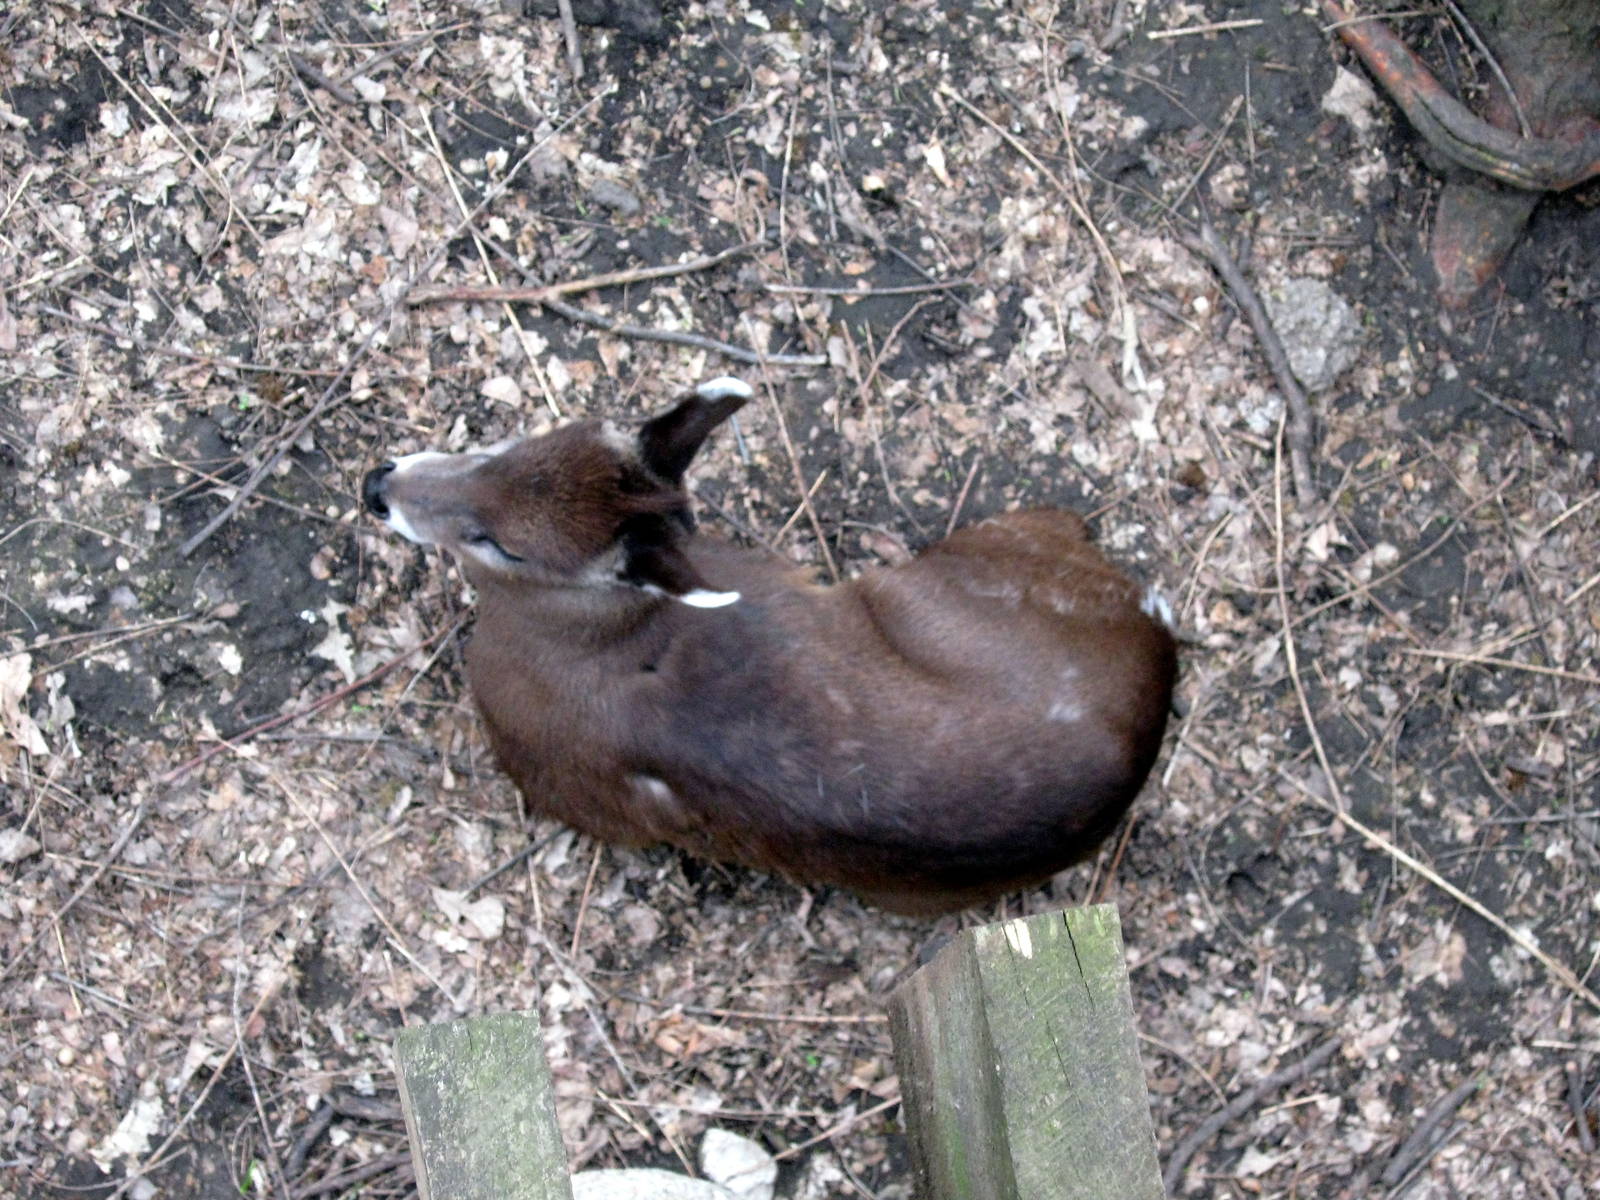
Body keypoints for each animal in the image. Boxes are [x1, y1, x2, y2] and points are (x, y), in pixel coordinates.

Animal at [362, 378, 1177, 914]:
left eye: (502, 544)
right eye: (508, 445)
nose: (378, 484)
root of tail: (1158, 636)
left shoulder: (563, 783)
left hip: (964, 560)